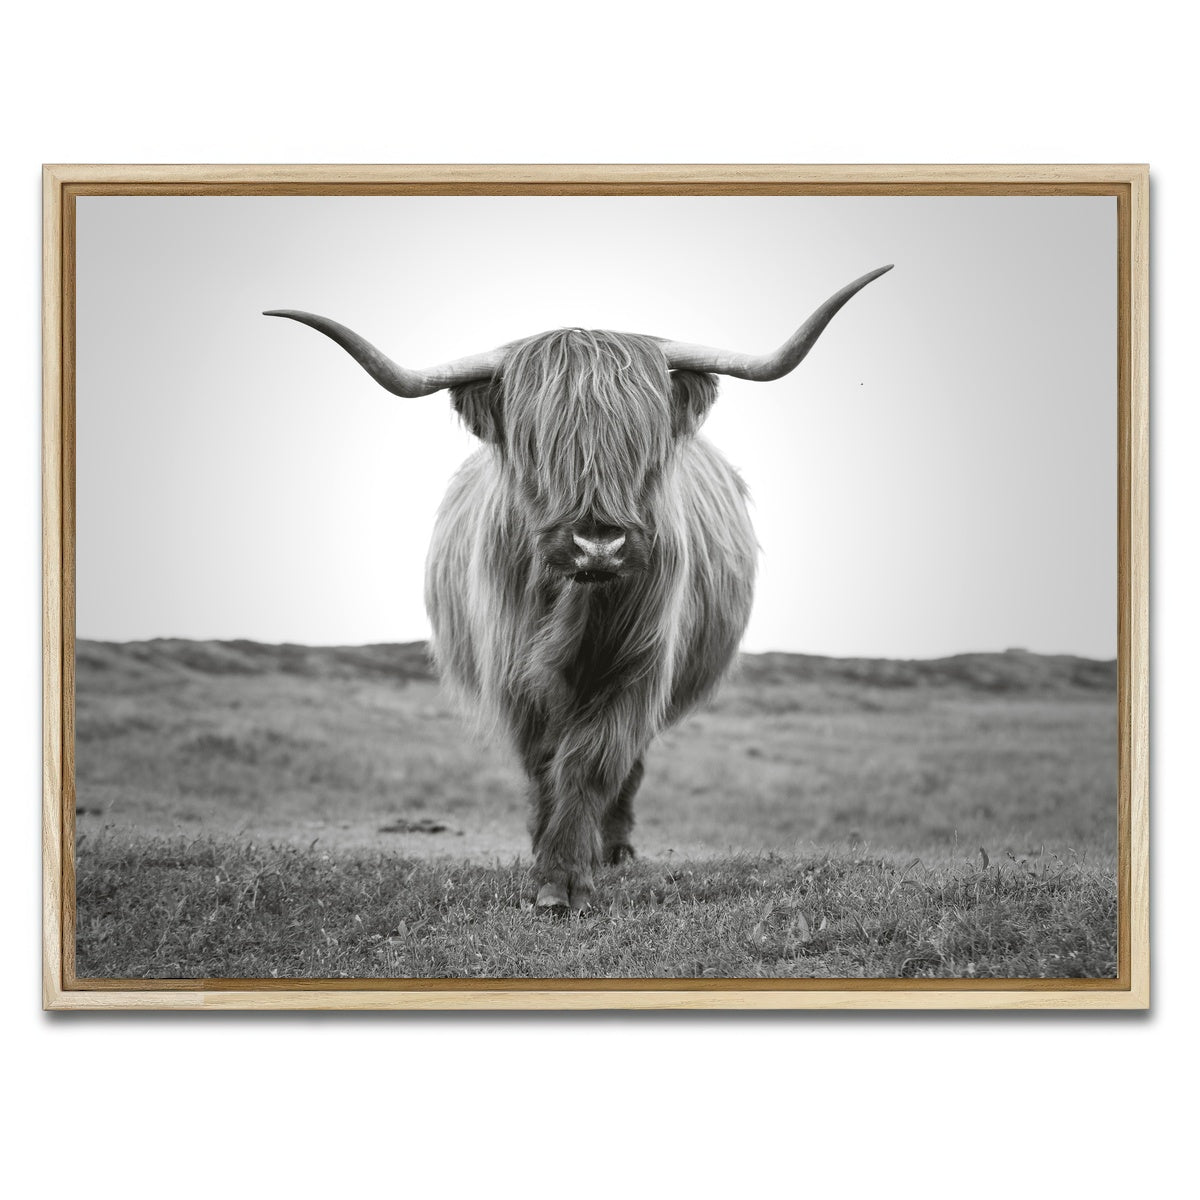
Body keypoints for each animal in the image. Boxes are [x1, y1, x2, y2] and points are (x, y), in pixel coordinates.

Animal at [265, 264, 891, 910]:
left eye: (643, 442)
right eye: (536, 444)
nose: (598, 545)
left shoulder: (638, 667)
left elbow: (593, 761)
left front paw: (567, 874)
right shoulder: (515, 674)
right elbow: (545, 763)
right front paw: (547, 863)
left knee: (628, 767)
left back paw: (613, 849)